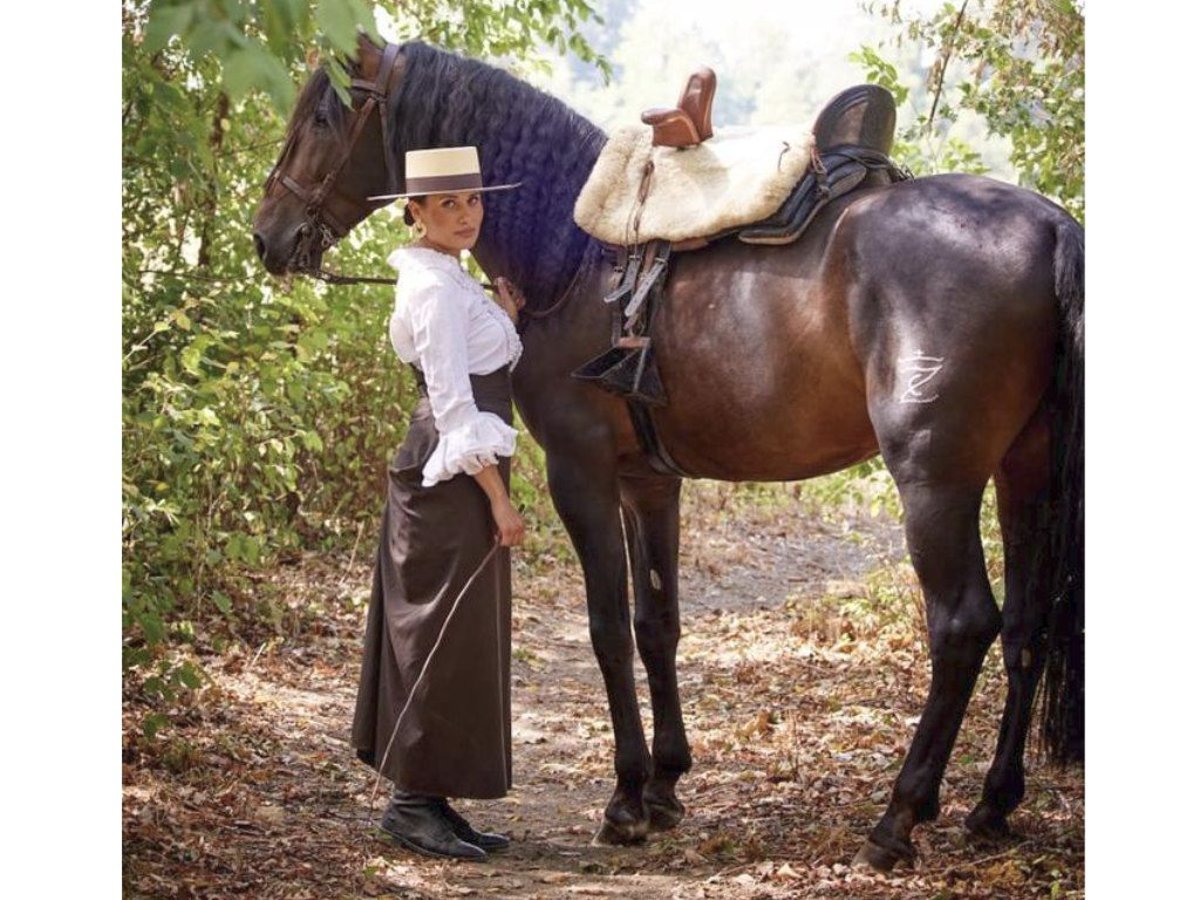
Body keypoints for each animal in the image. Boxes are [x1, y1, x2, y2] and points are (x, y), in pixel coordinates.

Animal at [255, 37, 1089, 873]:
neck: (575, 255)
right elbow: (657, 623)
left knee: (963, 626)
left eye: (324, 116)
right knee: (1027, 626)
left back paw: (898, 819)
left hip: (935, 482)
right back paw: (992, 805)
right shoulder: (647, 483)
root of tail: (1050, 226)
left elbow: (607, 627)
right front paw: (665, 785)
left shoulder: (581, 474)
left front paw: (626, 798)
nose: (267, 234)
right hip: (1024, 475)